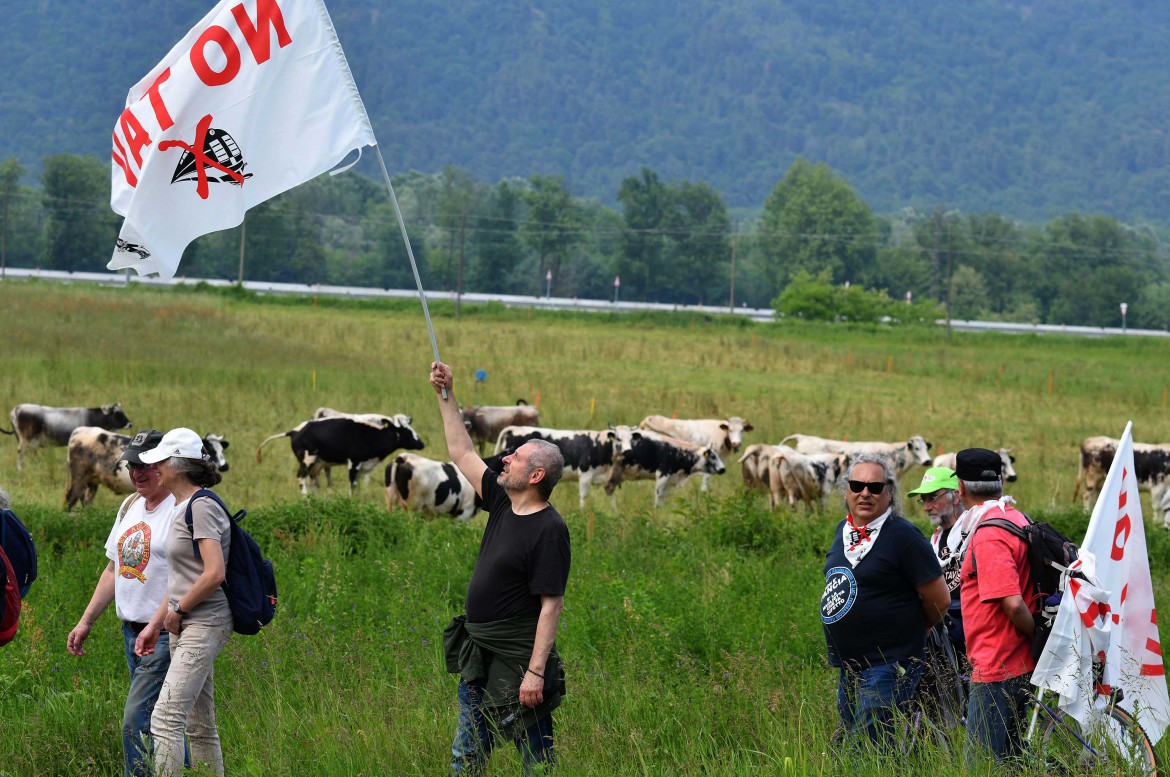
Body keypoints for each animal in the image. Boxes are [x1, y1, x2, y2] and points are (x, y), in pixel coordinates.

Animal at [2, 402, 132, 470]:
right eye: (118, 414)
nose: (130, 424)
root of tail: (17, 408)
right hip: (24, 439)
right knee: (20, 452)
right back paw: (19, 469)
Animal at [64, 425, 230, 510]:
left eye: (222, 450)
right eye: (210, 450)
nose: (225, 466)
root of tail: (80, 429)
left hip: (92, 481)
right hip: (79, 476)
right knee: (71, 500)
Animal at [256, 416, 425, 493]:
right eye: (406, 431)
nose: (421, 443)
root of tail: (294, 431)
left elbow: (357, 485)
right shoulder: (354, 463)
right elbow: (352, 485)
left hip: (316, 463)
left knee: (311, 480)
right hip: (307, 459)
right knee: (301, 478)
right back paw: (305, 499)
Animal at [493, 425, 622, 510]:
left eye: (630, 438)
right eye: (618, 439)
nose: (626, 450)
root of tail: (515, 428)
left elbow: (611, 494)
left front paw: (615, 511)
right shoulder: (585, 473)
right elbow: (583, 496)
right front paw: (582, 512)